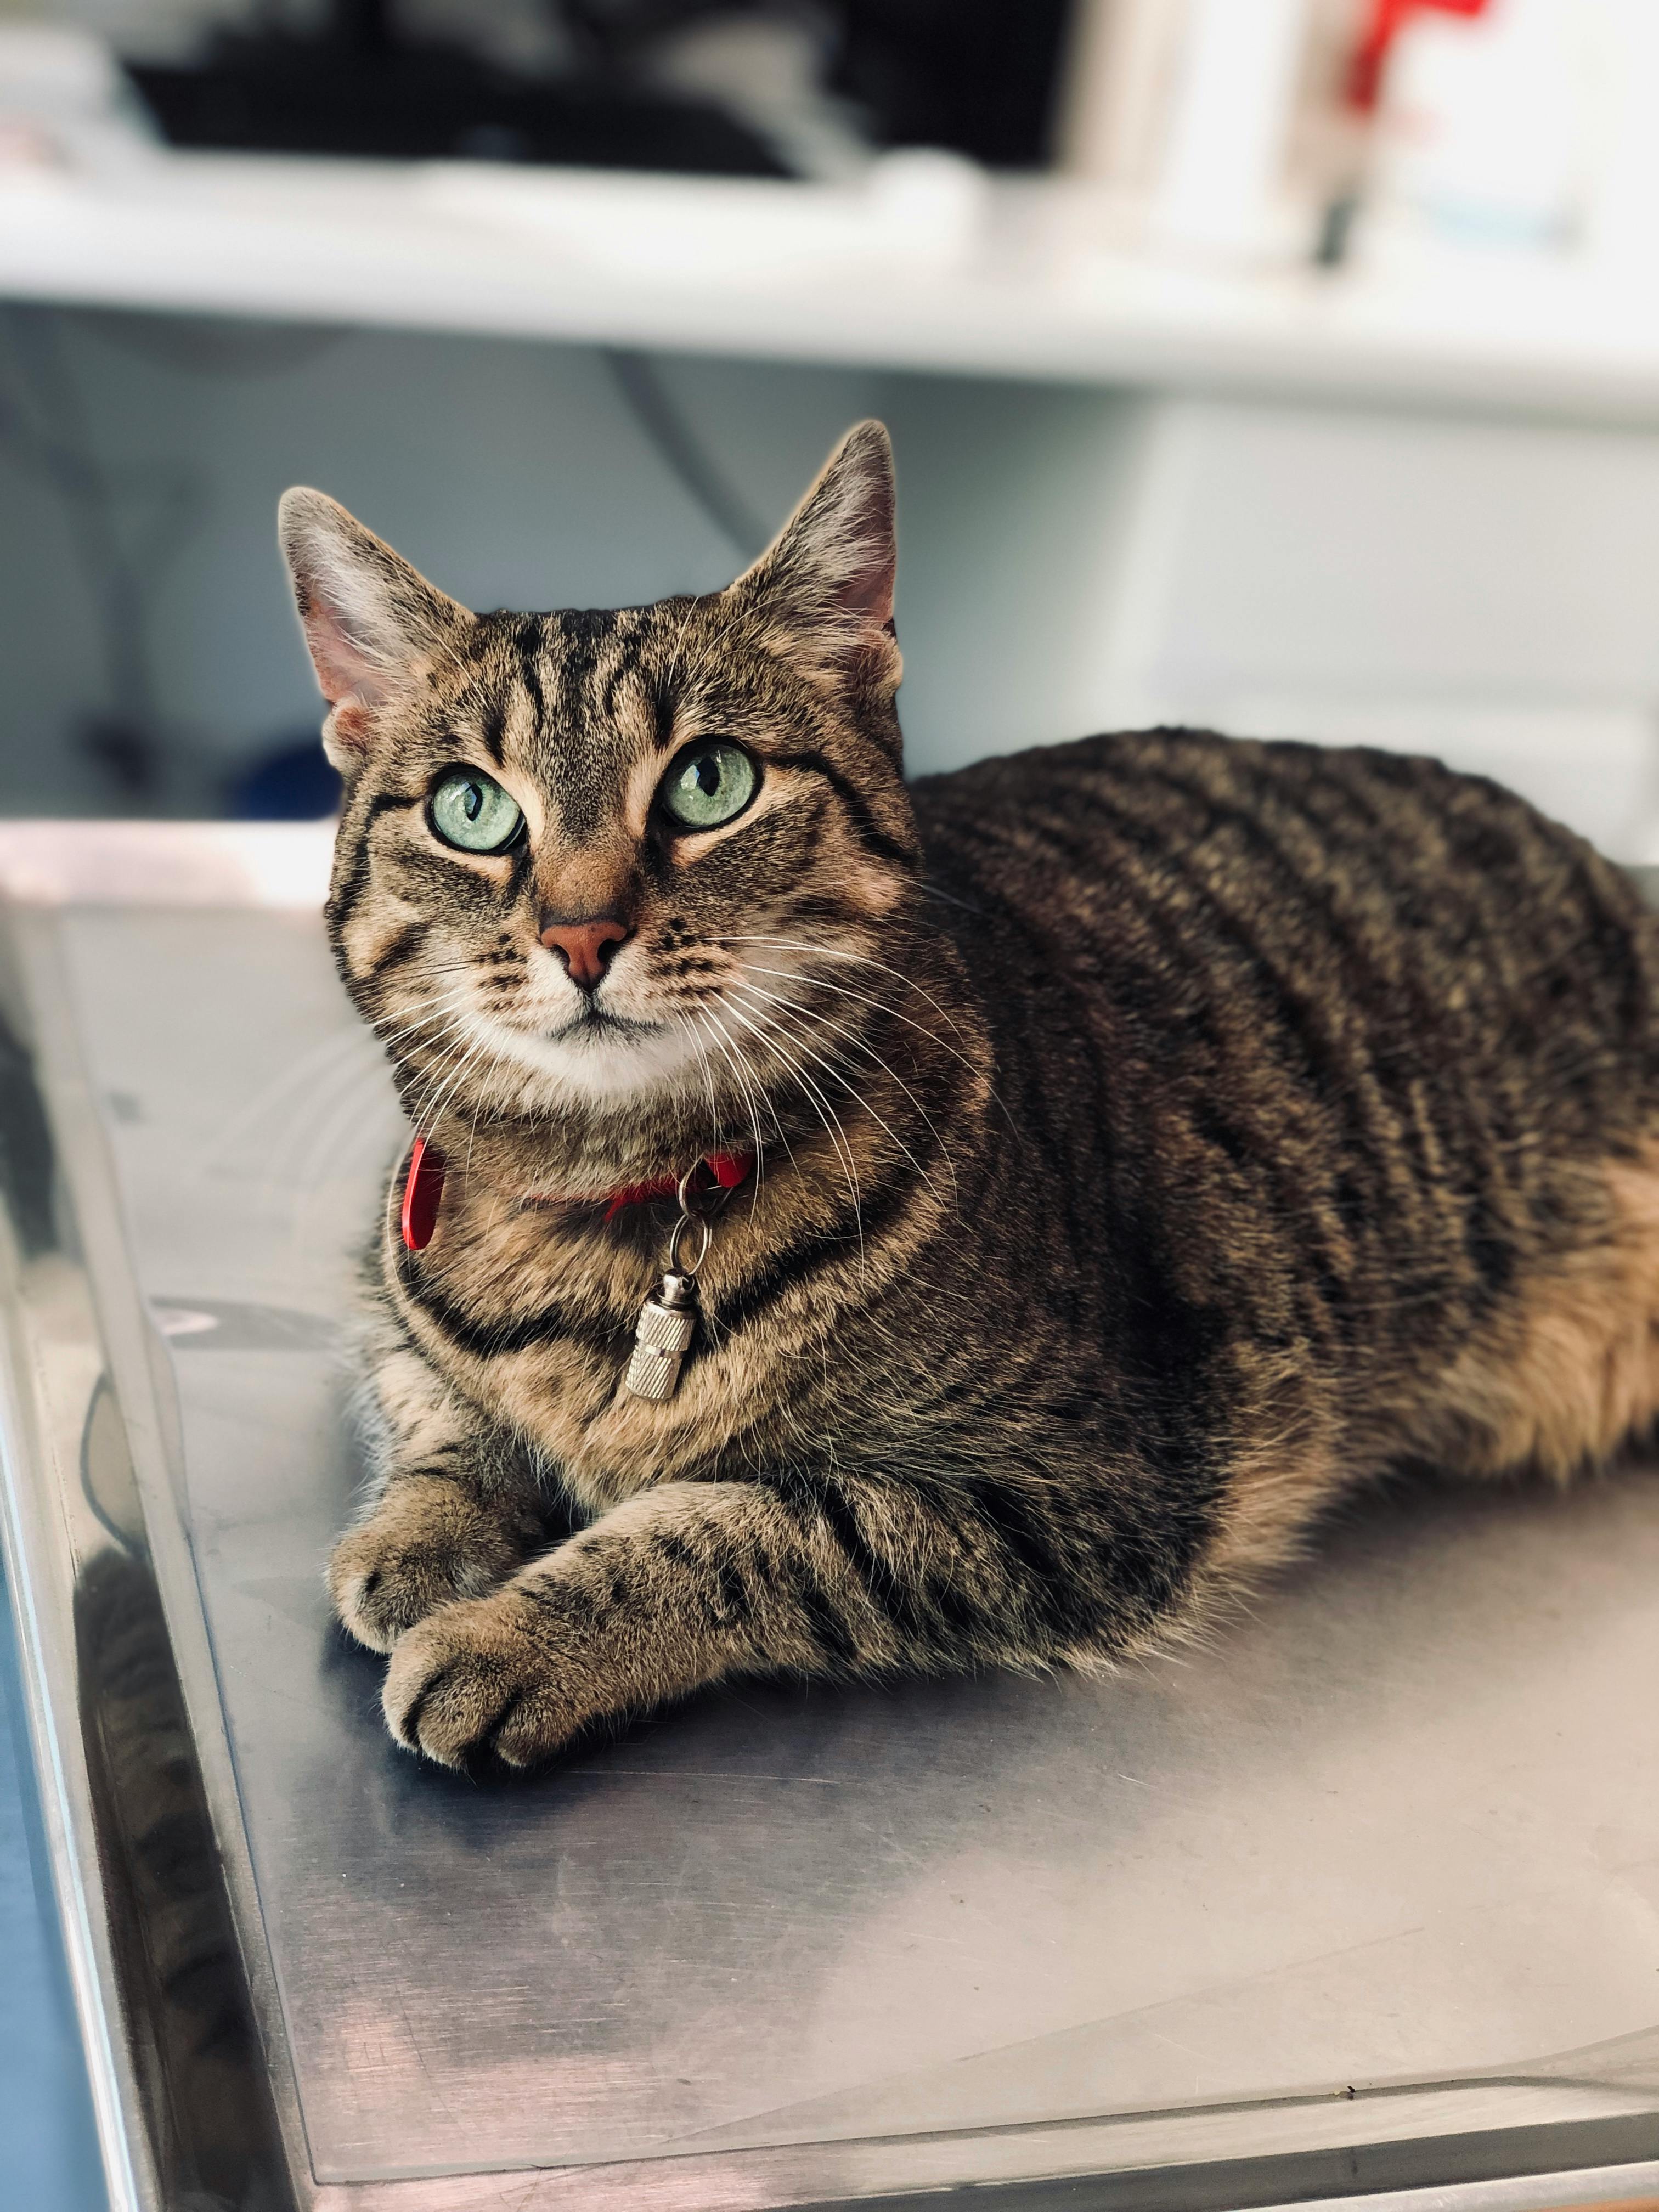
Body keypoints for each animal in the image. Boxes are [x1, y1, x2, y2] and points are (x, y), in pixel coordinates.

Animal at [280, 422, 1659, 1769]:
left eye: (709, 783)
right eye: (470, 808)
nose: (580, 933)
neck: (608, 1218)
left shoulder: (1088, 1490)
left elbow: (734, 1526)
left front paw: (513, 1637)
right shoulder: (382, 1290)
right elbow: (428, 1405)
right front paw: (417, 1540)